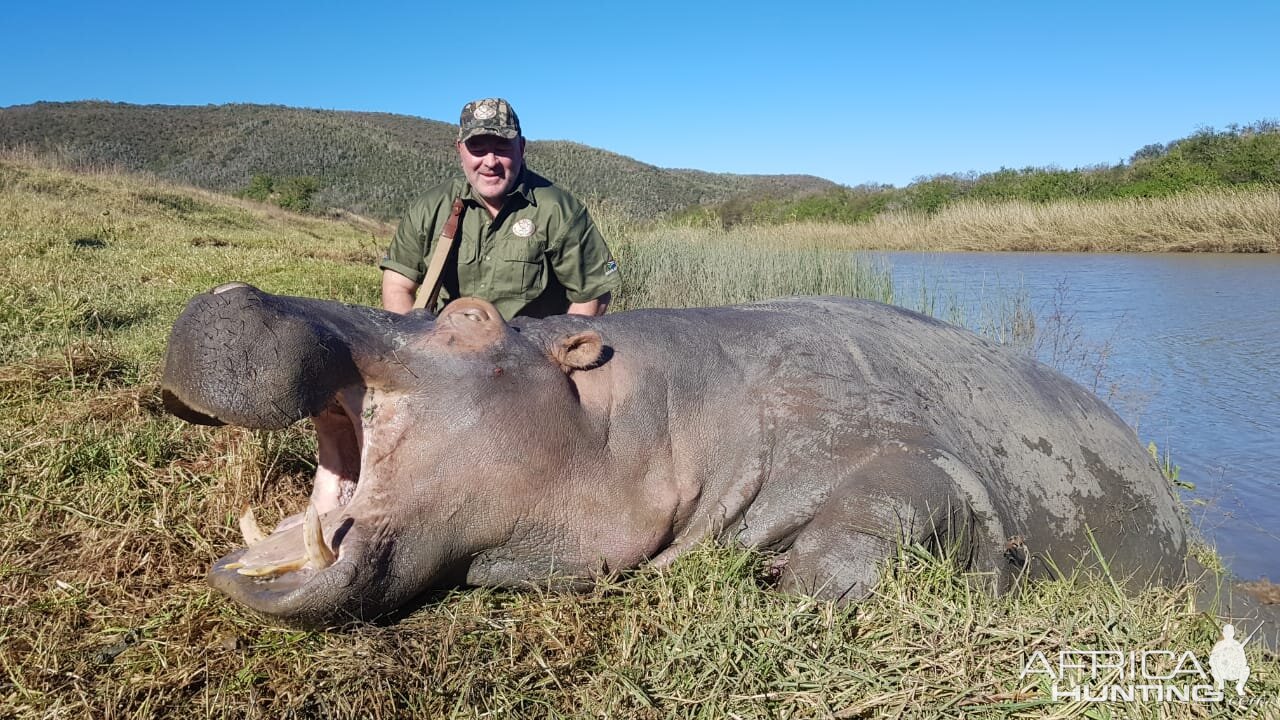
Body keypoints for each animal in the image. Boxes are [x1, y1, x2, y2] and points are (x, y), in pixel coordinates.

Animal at [160, 283, 1187, 625]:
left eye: (471, 315)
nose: (229, 293)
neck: (652, 408)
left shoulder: (900, 444)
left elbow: (898, 499)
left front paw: (787, 585)